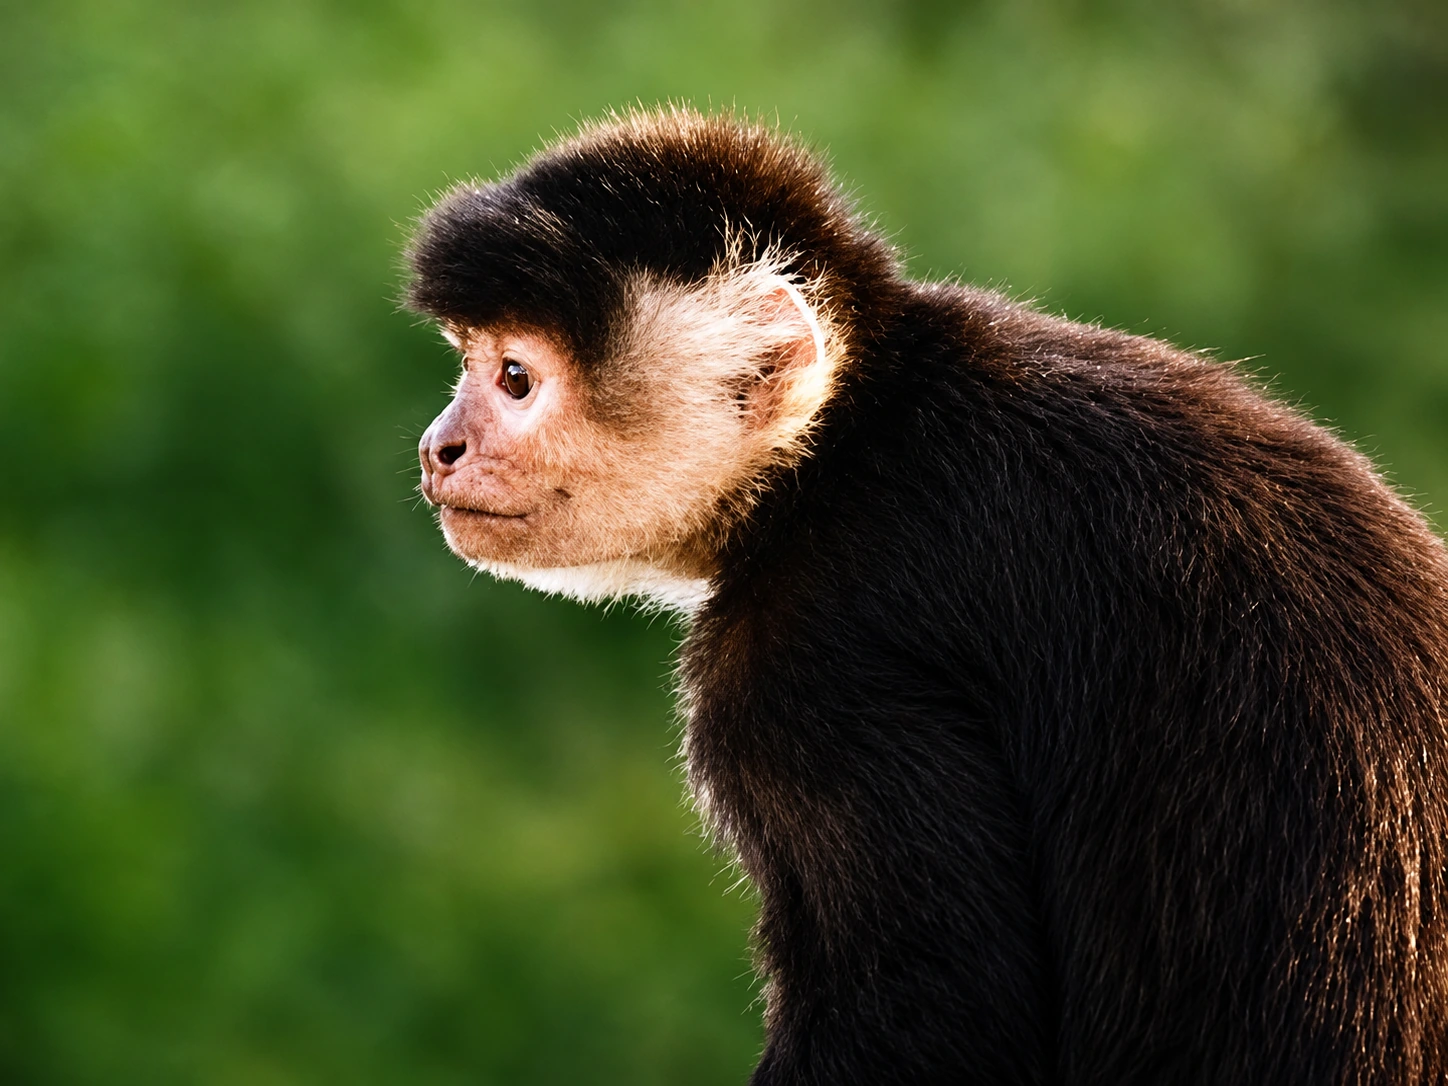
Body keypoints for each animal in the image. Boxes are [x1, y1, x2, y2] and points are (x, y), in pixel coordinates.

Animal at [405, 108, 1448, 1084]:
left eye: (513, 378)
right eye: (469, 363)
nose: (436, 445)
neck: (836, 459)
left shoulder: (810, 669)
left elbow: (940, 1025)